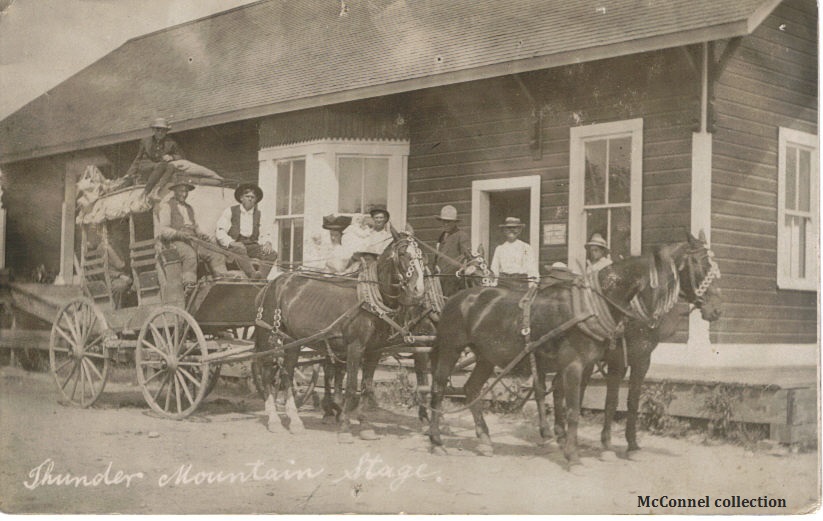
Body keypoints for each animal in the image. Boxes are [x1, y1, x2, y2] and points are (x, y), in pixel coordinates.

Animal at [256, 231, 424, 438]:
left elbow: (366, 386)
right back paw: (274, 419)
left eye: (421, 256)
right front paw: (345, 427)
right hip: (269, 338)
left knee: (287, 373)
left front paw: (365, 425)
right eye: (402, 254)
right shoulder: (355, 347)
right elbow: (350, 387)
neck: (369, 301)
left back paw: (295, 420)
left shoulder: (374, 351)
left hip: (293, 341)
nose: (418, 290)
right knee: (267, 374)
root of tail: (273, 283)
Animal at [432, 234, 720, 466]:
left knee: (472, 389)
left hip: (485, 356)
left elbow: (622, 402)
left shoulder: (630, 360)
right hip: (450, 349)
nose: (716, 311)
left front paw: (629, 445)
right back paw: (436, 438)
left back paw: (485, 440)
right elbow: (588, 405)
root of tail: (457, 299)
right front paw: (584, 451)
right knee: (438, 386)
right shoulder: (593, 362)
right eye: (700, 265)